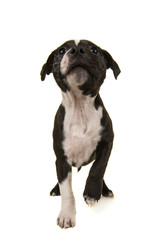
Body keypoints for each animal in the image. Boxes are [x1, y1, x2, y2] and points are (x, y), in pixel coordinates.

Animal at [40, 39, 120, 229]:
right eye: (61, 51)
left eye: (94, 50)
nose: (77, 50)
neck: (80, 107)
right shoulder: (61, 159)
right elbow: (66, 189)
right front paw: (66, 216)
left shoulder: (107, 142)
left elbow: (98, 168)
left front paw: (92, 193)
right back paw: (55, 189)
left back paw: (105, 190)